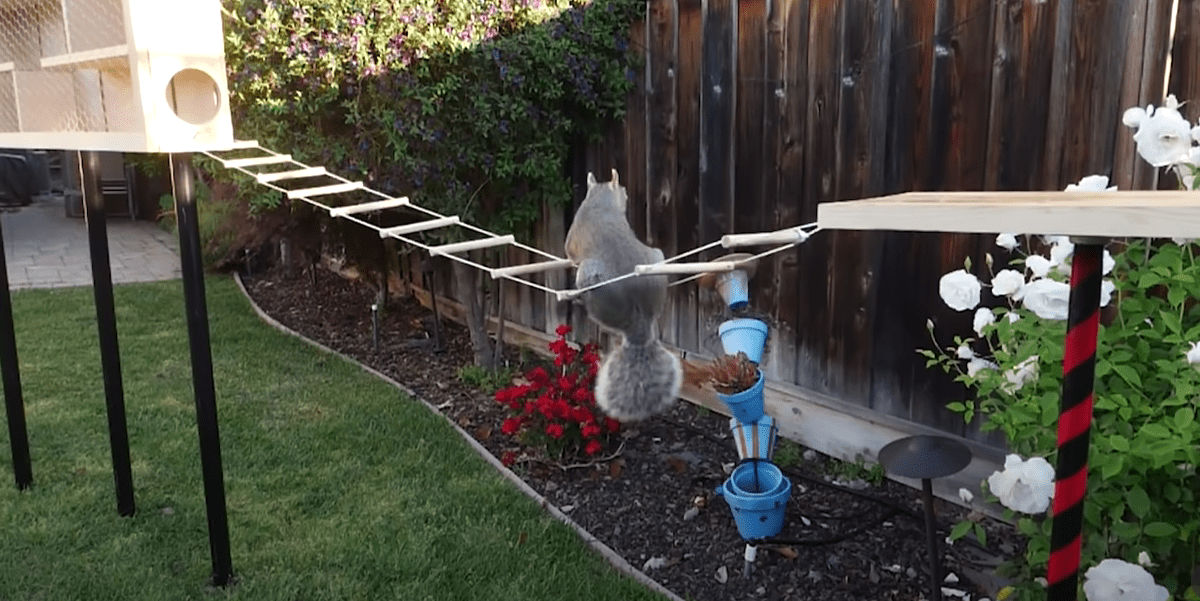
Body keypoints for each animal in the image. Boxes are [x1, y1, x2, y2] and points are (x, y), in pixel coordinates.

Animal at [565, 169, 682, 421]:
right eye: (624, 191)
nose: (627, 196)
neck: (599, 200)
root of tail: (639, 322)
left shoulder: (572, 241)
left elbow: (569, 253)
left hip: (589, 276)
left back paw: (577, 297)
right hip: (657, 259)